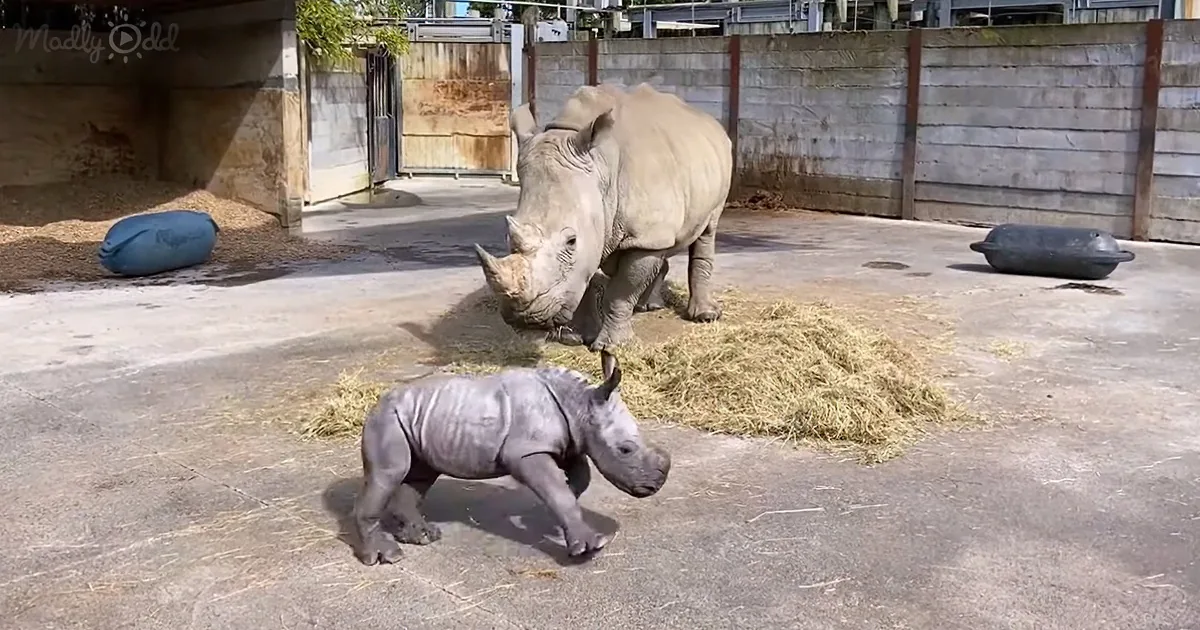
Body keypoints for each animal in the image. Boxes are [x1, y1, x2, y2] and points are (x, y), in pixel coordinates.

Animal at [352, 353, 671, 565]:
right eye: (625, 450)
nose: (656, 484)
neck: (581, 404)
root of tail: (375, 403)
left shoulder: (569, 442)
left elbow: (578, 480)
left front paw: (552, 517)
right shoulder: (527, 451)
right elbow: (558, 491)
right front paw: (591, 547)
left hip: (416, 418)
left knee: (420, 475)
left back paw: (423, 536)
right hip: (386, 419)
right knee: (389, 473)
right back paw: (386, 556)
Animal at [473, 82, 734, 352]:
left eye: (571, 241)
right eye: (508, 237)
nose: (527, 319)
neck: (601, 166)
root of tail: (709, 122)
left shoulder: (638, 236)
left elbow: (619, 292)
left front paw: (612, 346)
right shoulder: (602, 230)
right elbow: (585, 282)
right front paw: (577, 338)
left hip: (720, 165)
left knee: (707, 231)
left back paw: (704, 316)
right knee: (664, 247)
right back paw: (648, 306)